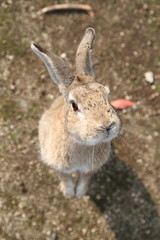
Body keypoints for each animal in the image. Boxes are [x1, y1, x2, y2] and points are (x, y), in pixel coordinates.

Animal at [31, 27, 120, 199]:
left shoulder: (89, 169)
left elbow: (85, 179)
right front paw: (68, 193)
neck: (82, 144)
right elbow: (65, 178)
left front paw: (79, 194)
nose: (107, 126)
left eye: (106, 95)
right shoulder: (59, 166)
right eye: (74, 105)